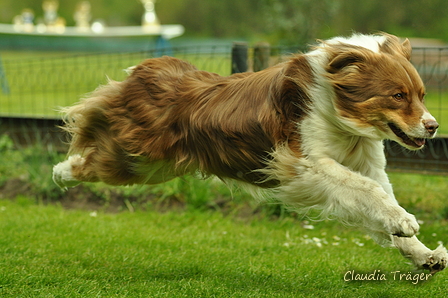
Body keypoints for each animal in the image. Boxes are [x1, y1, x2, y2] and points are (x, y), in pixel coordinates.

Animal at [54, 32, 446, 272]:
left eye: (422, 94)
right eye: (397, 95)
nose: (432, 126)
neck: (342, 119)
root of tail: (151, 67)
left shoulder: (366, 163)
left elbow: (378, 195)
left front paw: (423, 254)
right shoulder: (303, 164)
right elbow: (367, 190)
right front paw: (403, 221)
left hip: (151, 166)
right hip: (136, 153)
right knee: (92, 158)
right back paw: (60, 174)